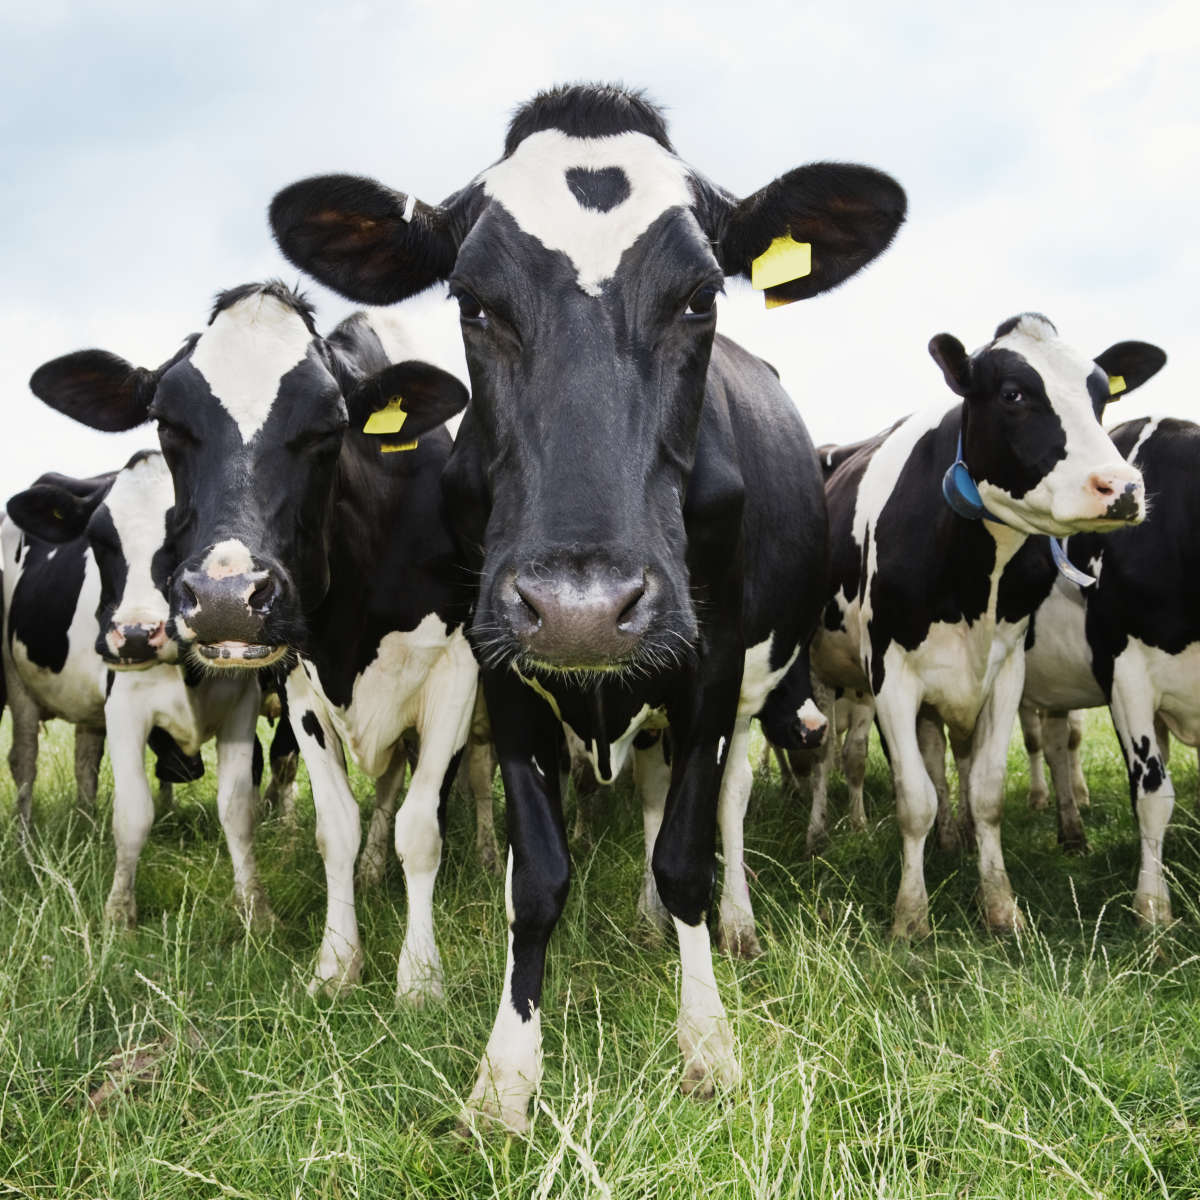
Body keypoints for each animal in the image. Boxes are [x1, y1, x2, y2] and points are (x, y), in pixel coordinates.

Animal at [5, 449, 276, 926]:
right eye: (99, 539)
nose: (134, 635)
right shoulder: (125, 707)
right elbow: (133, 814)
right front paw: (119, 914)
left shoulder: (242, 703)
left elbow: (238, 808)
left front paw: (255, 909)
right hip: (17, 682)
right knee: (24, 762)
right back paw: (25, 845)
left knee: (84, 761)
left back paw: (87, 826)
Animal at [267, 81, 907, 1132]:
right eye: (473, 301)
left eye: (701, 296)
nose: (583, 609)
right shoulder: (499, 664)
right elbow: (536, 875)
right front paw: (506, 1077)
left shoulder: (710, 662)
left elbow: (685, 853)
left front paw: (708, 1044)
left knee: (722, 805)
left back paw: (727, 925)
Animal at [811, 312, 1163, 939]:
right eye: (1013, 394)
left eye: (1102, 395)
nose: (1121, 487)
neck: (973, 577)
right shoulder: (889, 676)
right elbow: (913, 800)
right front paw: (911, 917)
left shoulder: (1003, 673)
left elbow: (987, 790)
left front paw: (1000, 905)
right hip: (821, 672)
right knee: (824, 751)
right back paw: (818, 831)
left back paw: (955, 839)